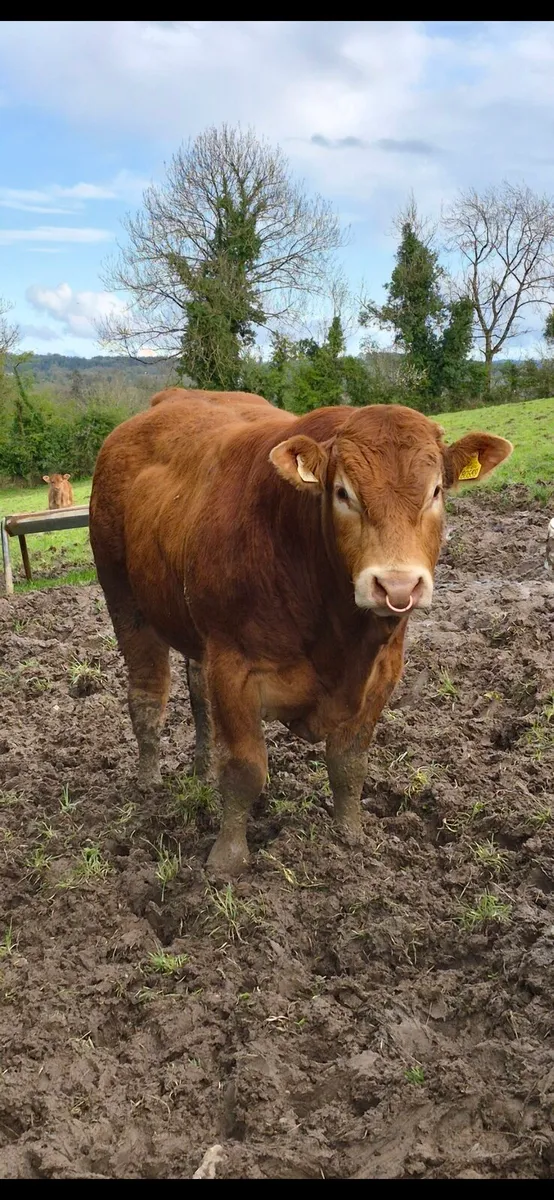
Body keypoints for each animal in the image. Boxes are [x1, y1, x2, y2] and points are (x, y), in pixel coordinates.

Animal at [89, 394, 512, 879]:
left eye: (436, 491)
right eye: (343, 492)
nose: (397, 585)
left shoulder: (383, 670)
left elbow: (349, 762)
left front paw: (351, 837)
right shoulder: (233, 666)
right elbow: (245, 770)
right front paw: (227, 858)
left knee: (197, 691)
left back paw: (202, 769)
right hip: (124, 599)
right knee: (147, 694)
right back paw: (148, 782)